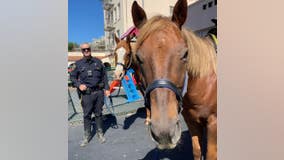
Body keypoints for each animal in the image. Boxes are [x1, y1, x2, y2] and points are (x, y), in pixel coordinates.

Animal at [131, 0, 217, 159]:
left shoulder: (213, 123)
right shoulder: (192, 122)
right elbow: (197, 151)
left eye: (185, 54)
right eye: (138, 58)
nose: (163, 133)